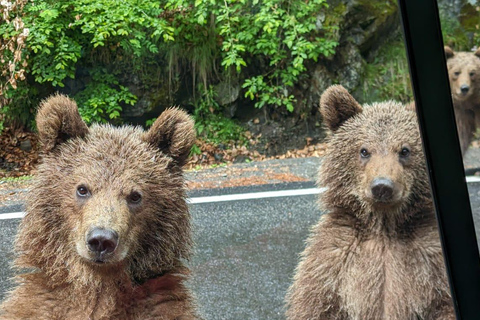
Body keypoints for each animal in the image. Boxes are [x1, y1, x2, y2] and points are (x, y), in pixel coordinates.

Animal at [0, 95, 199, 320]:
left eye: (135, 196)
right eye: (82, 189)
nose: (102, 240)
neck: (97, 283)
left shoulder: (161, 306)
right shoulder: (40, 304)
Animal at [284, 85, 454, 320]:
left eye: (404, 150)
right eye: (364, 150)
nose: (382, 186)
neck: (384, 227)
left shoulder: (430, 258)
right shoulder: (332, 261)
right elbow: (316, 305)